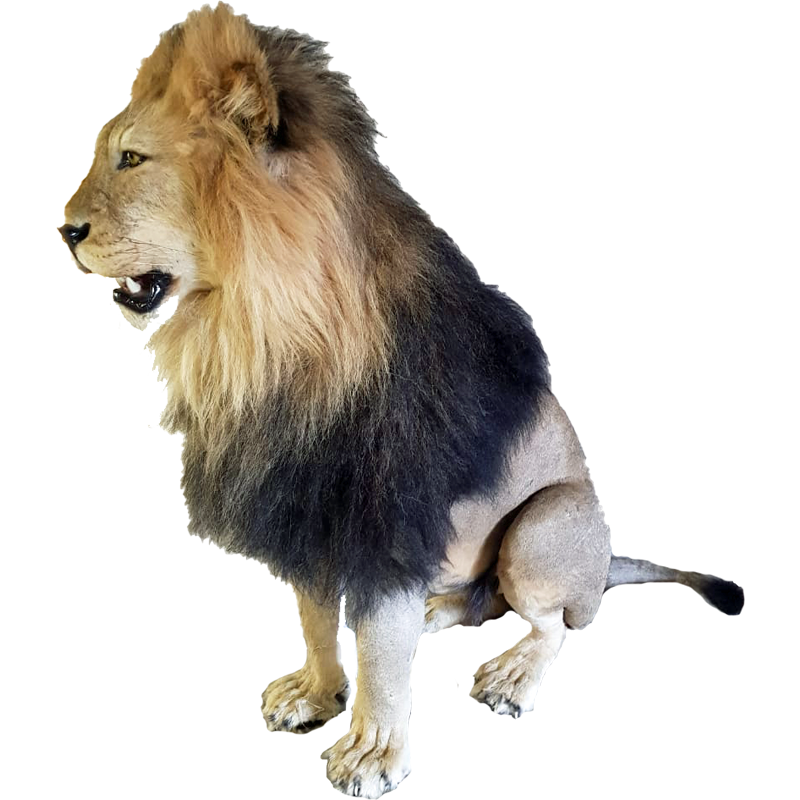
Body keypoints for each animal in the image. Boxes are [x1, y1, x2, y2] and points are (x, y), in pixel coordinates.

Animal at [57, 5, 744, 796]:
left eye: (132, 159)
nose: (63, 229)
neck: (260, 340)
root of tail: (605, 562)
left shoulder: (381, 517)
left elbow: (380, 651)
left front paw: (373, 751)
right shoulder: (310, 512)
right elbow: (317, 617)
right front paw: (318, 693)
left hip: (549, 522)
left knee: (550, 624)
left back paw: (510, 672)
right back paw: (439, 606)